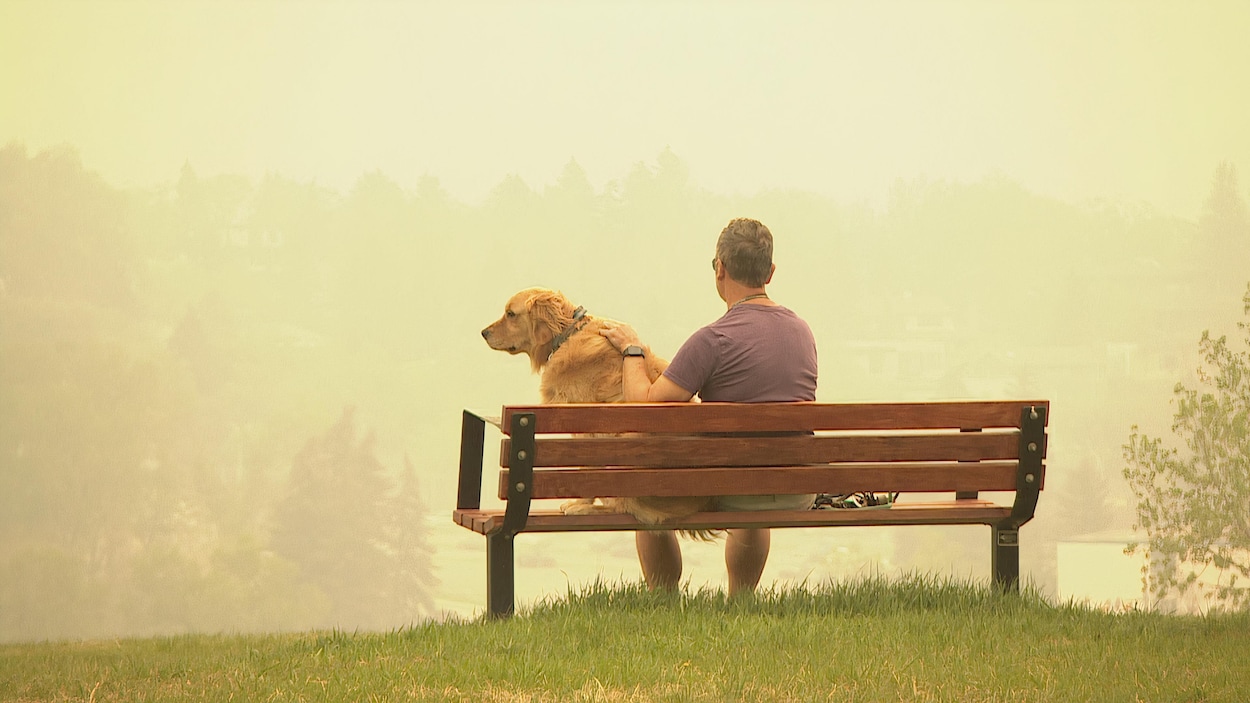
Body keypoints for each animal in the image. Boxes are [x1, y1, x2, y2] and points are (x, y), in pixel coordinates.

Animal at [480, 286, 715, 525]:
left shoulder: (587, 424)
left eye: (511, 314)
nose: (483, 333)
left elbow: (586, 471)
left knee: (624, 507)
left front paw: (581, 502)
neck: (568, 334)